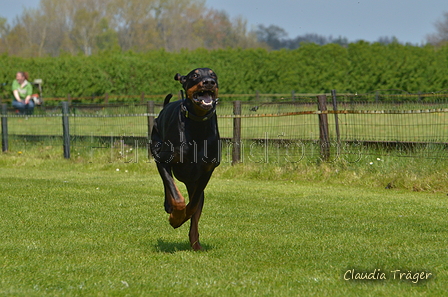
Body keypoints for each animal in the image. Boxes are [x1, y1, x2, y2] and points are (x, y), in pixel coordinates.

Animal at [150, 67, 220, 250]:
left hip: (193, 183)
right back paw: (169, 207)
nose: (209, 82)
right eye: (195, 75)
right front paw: (175, 217)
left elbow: (193, 205)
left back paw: (196, 245)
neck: (198, 124)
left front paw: (180, 218)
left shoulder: (207, 171)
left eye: (214, 75)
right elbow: (177, 197)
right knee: (169, 186)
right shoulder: (163, 161)